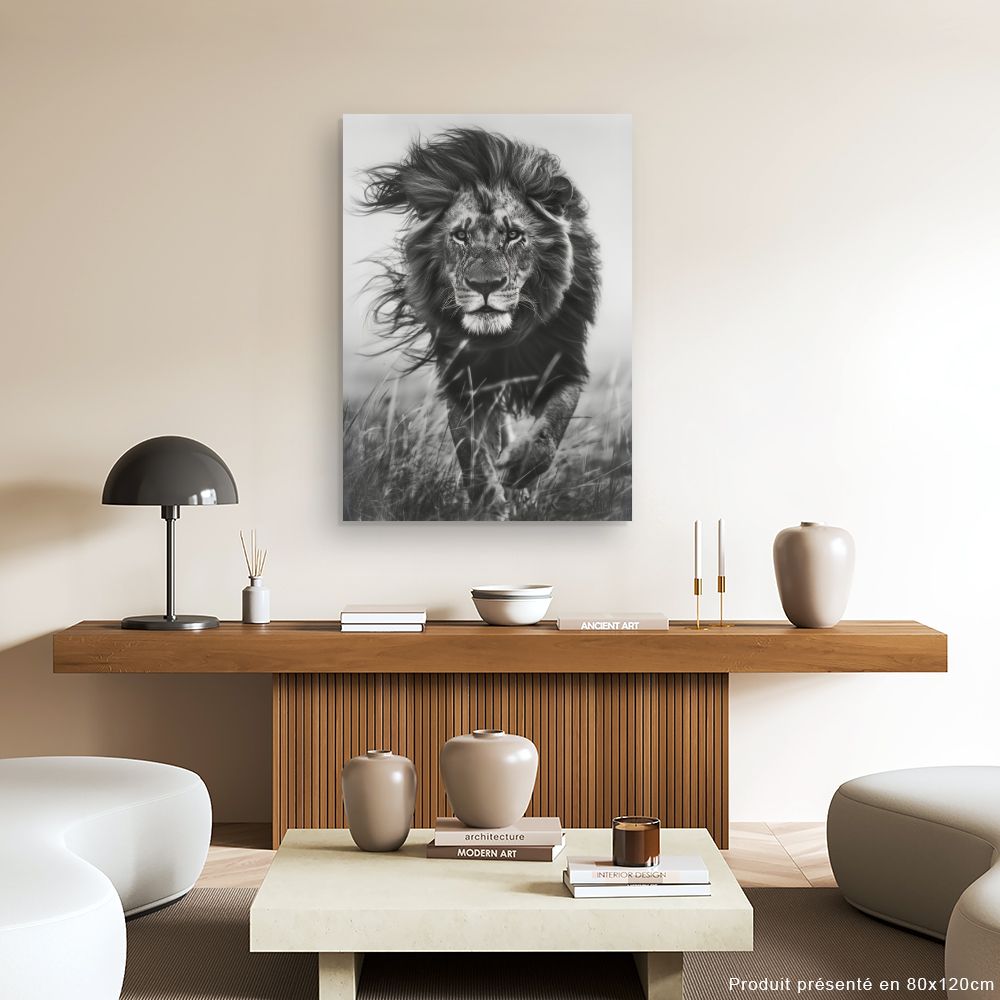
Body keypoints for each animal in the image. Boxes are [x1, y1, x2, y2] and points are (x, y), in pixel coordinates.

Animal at [359, 127, 600, 519]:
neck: (501, 339)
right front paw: (489, 506)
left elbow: (548, 434)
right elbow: (472, 453)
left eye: (514, 235)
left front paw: (518, 472)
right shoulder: (463, 379)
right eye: (460, 235)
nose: (485, 285)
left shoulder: (564, 365)